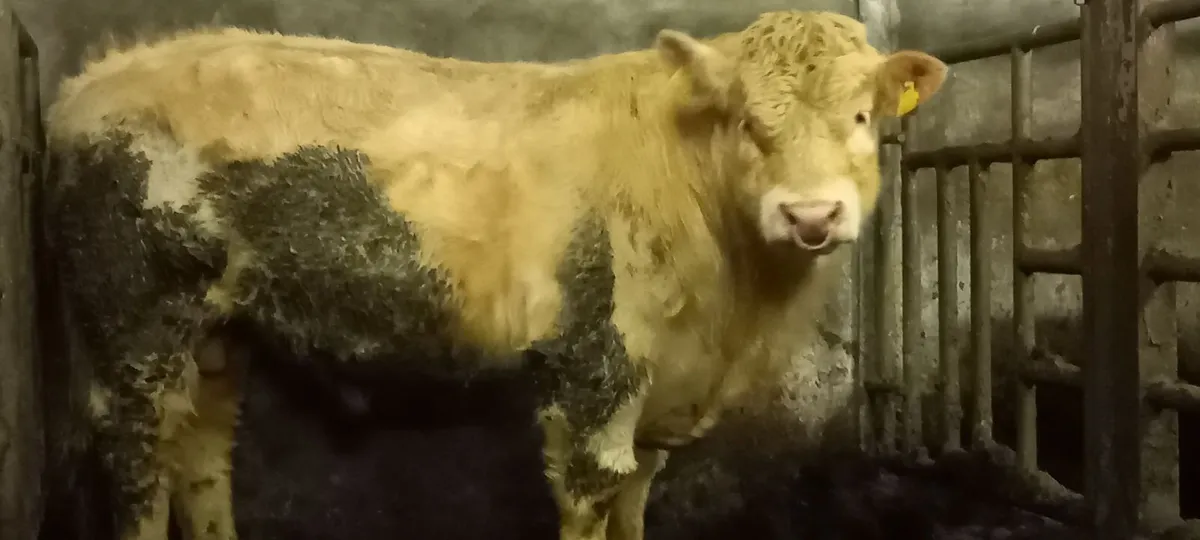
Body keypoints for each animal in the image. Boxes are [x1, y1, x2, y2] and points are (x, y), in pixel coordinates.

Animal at [43, 9, 947, 540]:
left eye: (861, 116)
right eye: (750, 123)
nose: (811, 215)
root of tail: (86, 86)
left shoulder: (663, 387)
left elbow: (636, 499)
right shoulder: (592, 362)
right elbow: (593, 495)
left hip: (216, 329)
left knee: (201, 451)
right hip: (131, 314)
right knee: (136, 455)